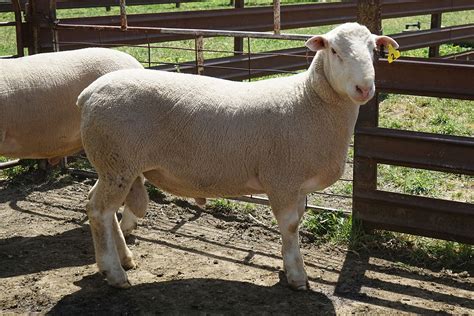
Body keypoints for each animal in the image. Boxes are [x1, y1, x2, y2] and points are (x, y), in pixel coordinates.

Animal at [78, 21, 400, 288]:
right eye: (334, 50)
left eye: (374, 50)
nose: (364, 88)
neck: (308, 100)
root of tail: (89, 93)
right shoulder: (281, 179)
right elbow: (290, 225)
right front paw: (297, 276)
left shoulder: (297, 184)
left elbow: (297, 221)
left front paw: (288, 265)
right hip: (118, 161)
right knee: (99, 210)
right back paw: (114, 273)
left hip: (112, 165)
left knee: (101, 206)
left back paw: (124, 259)